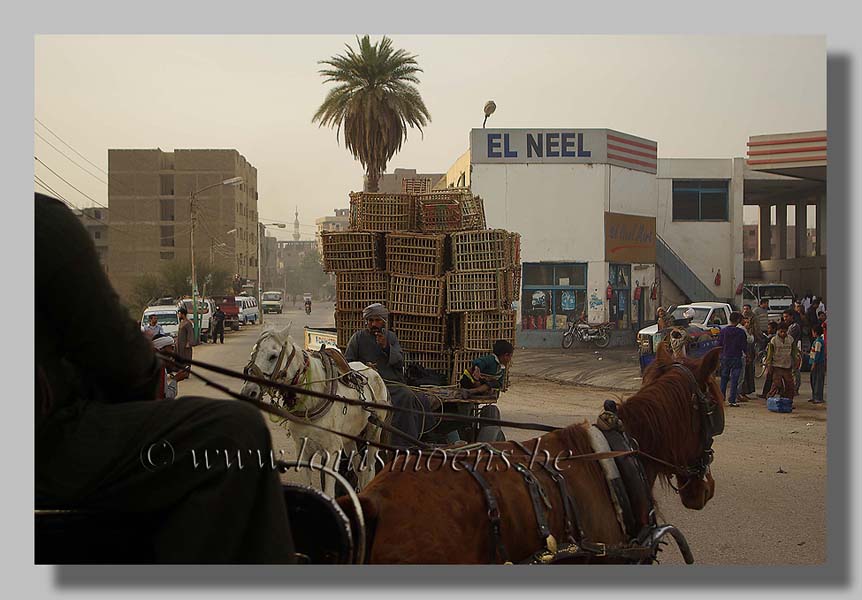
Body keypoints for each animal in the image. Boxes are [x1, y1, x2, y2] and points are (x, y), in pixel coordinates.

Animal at [241, 324, 394, 496]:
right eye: (253, 353)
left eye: (273, 356)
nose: (249, 391)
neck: (313, 398)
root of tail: (372, 369)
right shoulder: (302, 449)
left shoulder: (332, 452)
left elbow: (329, 492)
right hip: (349, 438)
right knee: (358, 468)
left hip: (374, 432)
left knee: (369, 469)